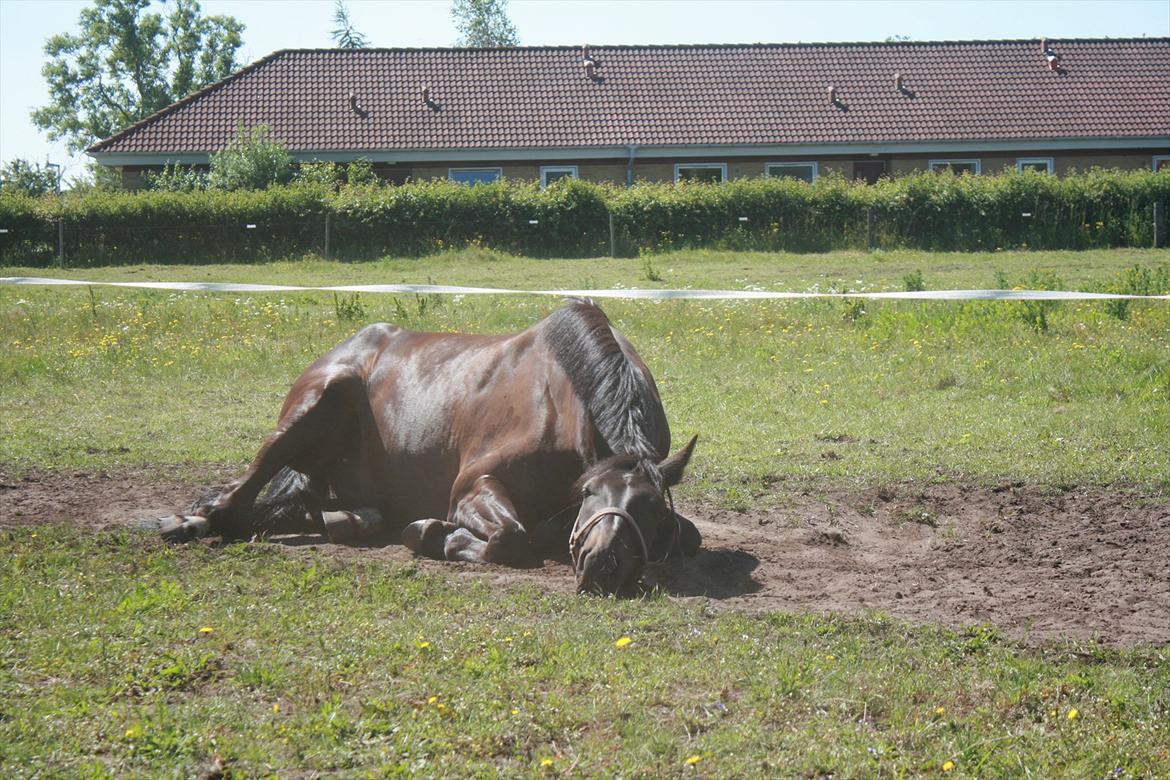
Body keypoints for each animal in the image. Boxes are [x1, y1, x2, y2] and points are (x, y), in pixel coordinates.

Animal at [160, 301, 697, 594]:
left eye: (651, 508)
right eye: (587, 494)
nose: (605, 564)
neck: (562, 396)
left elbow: (688, 534)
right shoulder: (472, 487)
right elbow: (510, 537)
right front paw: (433, 534)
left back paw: (344, 519)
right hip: (316, 401)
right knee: (238, 496)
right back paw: (193, 521)